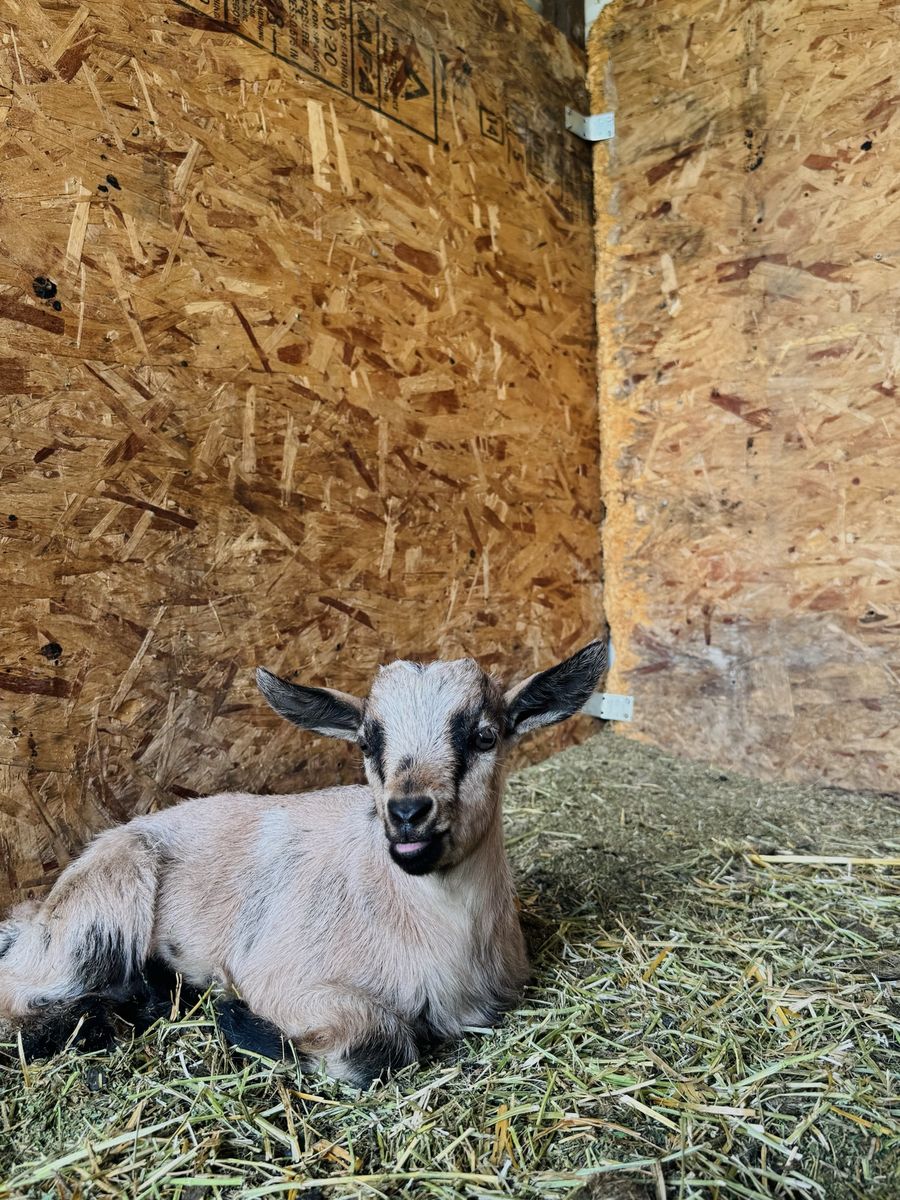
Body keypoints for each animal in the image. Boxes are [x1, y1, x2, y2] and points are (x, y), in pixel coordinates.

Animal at [0, 640, 607, 1084]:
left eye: (484, 736)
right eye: (367, 743)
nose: (407, 813)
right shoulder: (283, 978)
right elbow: (379, 1046)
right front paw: (238, 1020)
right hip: (102, 905)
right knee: (18, 997)